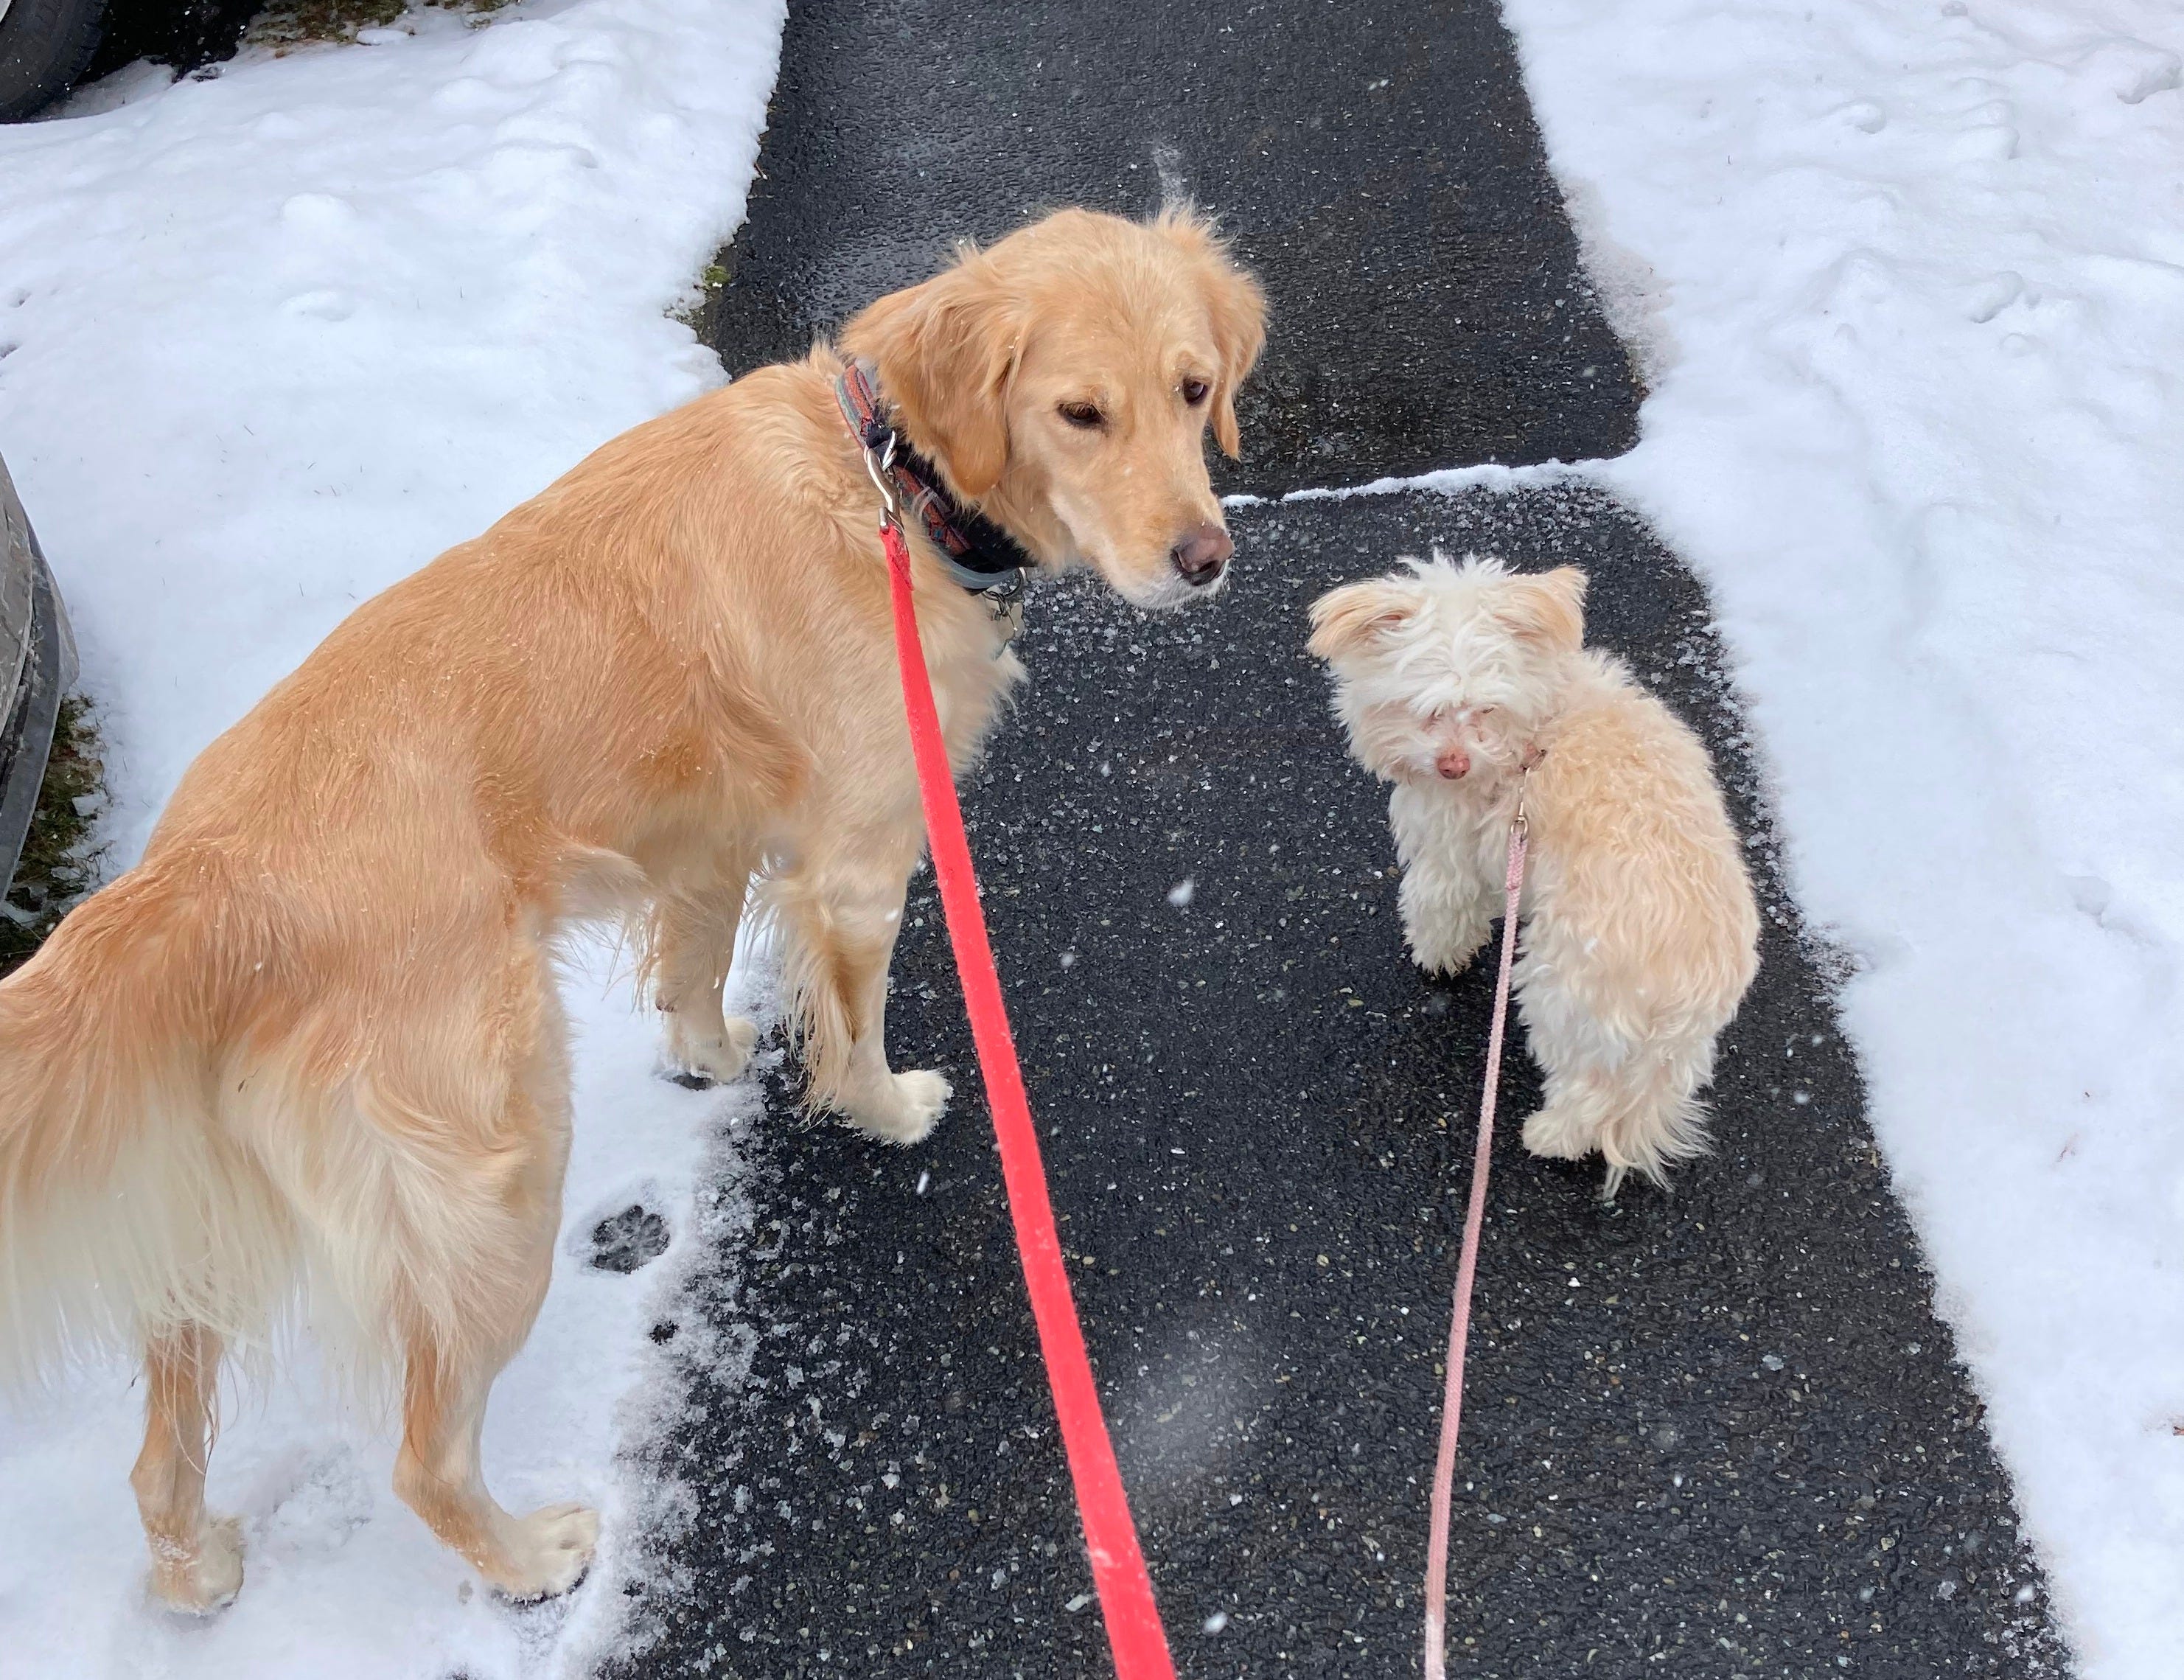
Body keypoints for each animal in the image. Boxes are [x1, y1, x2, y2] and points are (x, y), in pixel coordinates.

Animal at [0, 206, 1265, 1610]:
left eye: (1193, 389)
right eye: (1079, 412)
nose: (1206, 561)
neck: (891, 482)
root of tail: (193, 873)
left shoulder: (706, 837)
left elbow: (699, 964)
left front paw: (706, 1057)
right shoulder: (860, 861)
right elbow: (852, 1023)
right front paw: (885, 1107)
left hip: (212, 1216)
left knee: (158, 1453)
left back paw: (194, 1568)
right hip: (498, 1178)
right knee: (422, 1456)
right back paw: (526, 1557)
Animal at [1308, 555, 1758, 1191]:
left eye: (1486, 707)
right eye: (1426, 706)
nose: (1453, 764)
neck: (1534, 730)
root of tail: (1692, 983)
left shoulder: (1450, 843)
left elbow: (1440, 904)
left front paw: (1437, 956)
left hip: (1561, 993)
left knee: (1587, 1092)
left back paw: (1549, 1136)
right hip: (1670, 1051)